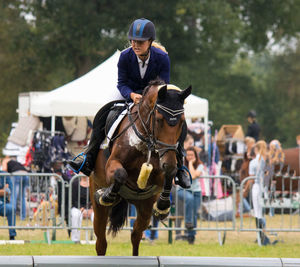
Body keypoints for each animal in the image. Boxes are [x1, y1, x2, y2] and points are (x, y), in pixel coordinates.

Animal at [89, 80, 192, 258]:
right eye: (159, 120)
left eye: (182, 121)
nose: (169, 162)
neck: (146, 140)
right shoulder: (112, 164)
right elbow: (120, 174)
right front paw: (107, 195)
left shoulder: (159, 173)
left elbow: (169, 175)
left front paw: (163, 206)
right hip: (99, 208)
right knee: (101, 242)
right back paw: (105, 195)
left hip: (144, 207)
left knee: (136, 234)